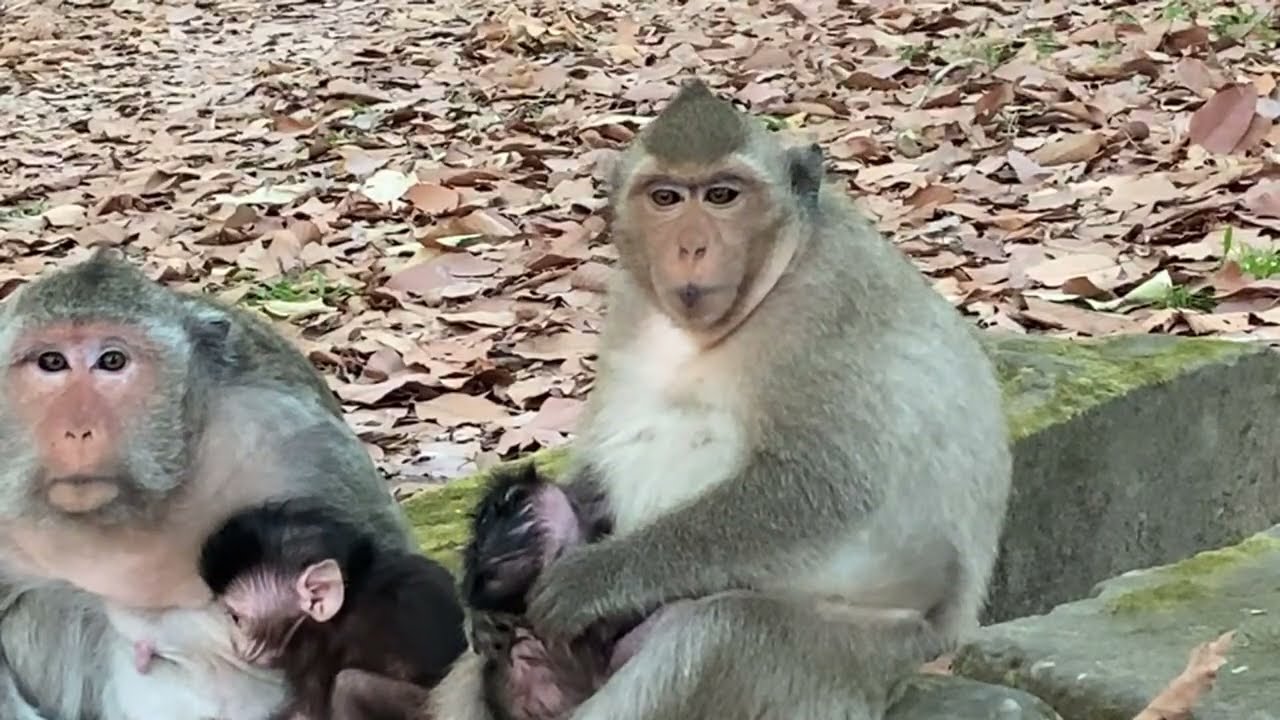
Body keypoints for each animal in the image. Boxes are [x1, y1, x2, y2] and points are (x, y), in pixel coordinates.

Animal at [427, 78, 1013, 720]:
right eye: (665, 198)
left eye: (723, 195)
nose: (690, 247)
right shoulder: (630, 301)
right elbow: (600, 464)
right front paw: (485, 576)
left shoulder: (826, 307)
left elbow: (819, 485)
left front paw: (590, 578)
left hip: (863, 661)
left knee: (719, 634)